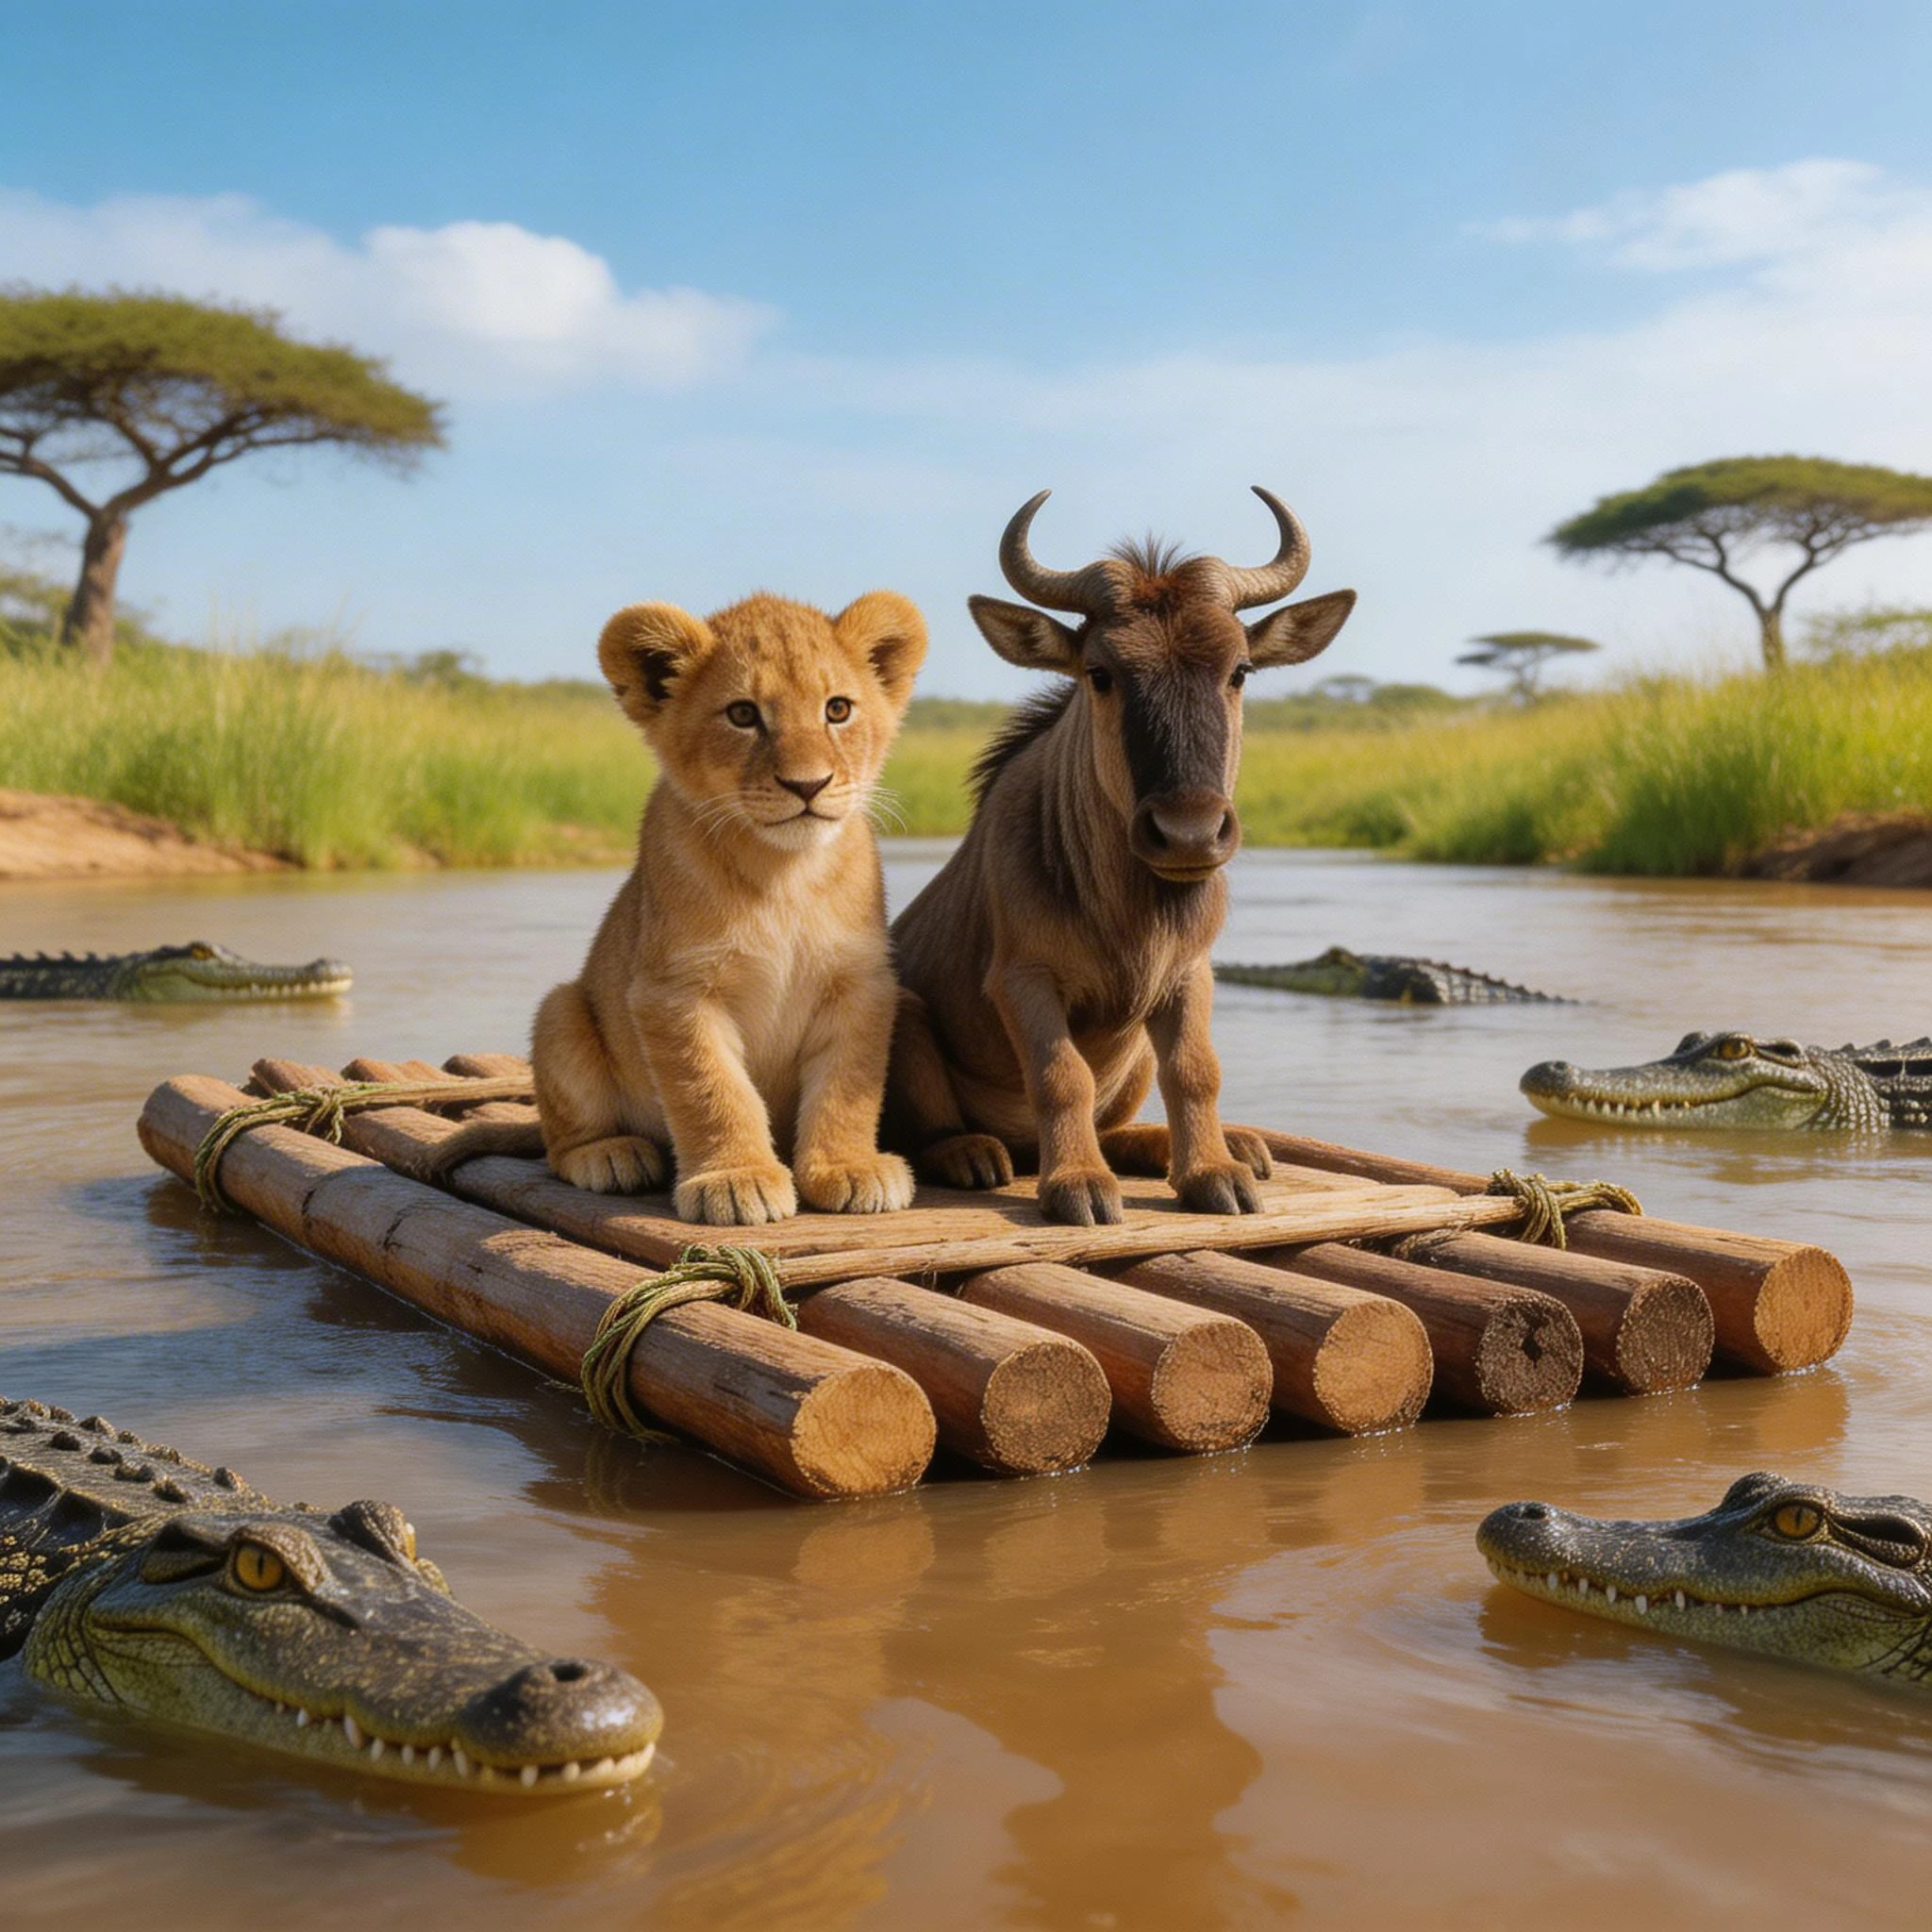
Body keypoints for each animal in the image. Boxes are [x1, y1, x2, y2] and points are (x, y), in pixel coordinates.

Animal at [442, 590, 927, 1225]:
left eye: (838, 709)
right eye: (743, 715)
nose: (808, 786)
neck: (784, 873)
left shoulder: (861, 983)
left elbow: (849, 1083)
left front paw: (846, 1167)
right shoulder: (675, 990)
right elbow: (713, 1089)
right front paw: (737, 1179)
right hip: (562, 1010)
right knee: (558, 1142)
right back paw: (611, 1154)